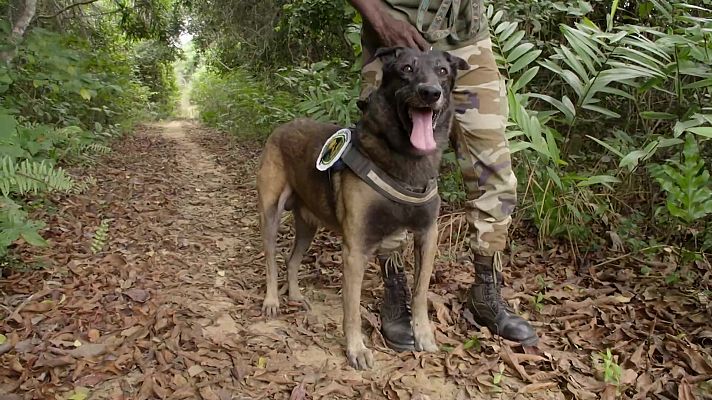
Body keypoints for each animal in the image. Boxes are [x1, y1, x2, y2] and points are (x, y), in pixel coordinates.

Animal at [256, 46, 468, 368]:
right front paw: (356, 349)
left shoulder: (427, 235)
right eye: (406, 68)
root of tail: (282, 127)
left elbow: (420, 292)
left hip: (308, 226)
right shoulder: (355, 250)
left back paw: (294, 296)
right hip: (271, 215)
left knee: (292, 261)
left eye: (442, 71)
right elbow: (352, 309)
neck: (405, 161)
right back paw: (272, 301)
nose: (430, 92)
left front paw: (423, 334)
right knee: (270, 260)